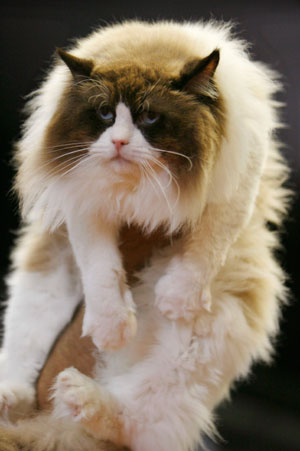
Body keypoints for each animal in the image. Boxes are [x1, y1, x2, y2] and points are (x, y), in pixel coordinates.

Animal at [0, 19, 290, 451]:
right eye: (105, 114)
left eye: (150, 119)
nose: (119, 142)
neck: (138, 192)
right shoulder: (84, 201)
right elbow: (102, 269)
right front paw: (113, 327)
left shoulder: (236, 184)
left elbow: (207, 245)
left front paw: (177, 299)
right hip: (40, 292)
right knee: (23, 370)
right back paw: (16, 397)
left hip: (191, 351)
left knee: (129, 417)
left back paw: (80, 395)